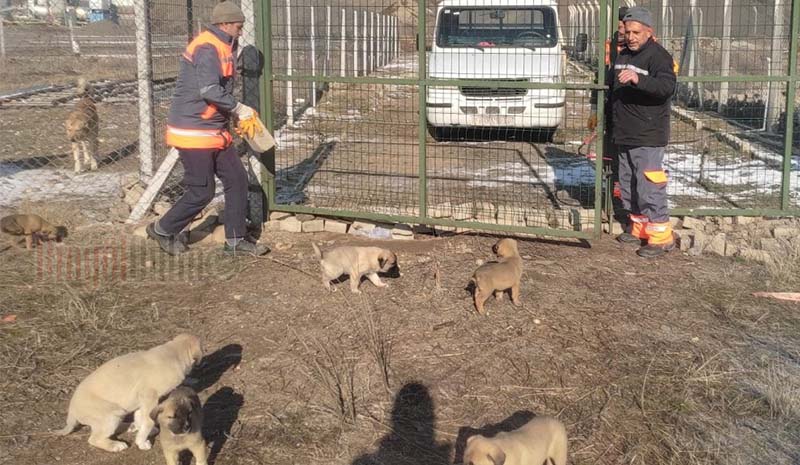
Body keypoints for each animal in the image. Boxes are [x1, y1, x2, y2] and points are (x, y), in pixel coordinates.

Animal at [59, 334, 202, 454]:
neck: (173, 352)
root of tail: (71, 410)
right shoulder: (149, 395)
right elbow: (148, 420)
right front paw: (142, 442)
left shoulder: (141, 401)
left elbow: (141, 416)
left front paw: (142, 432)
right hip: (110, 415)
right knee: (94, 439)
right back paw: (116, 445)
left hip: (117, 414)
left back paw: (132, 427)